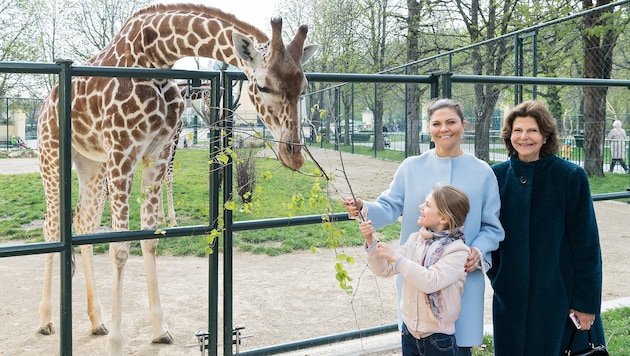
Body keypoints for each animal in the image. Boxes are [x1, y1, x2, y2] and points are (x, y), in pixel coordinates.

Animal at [37, 4, 318, 354]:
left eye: (304, 88)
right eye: (264, 86)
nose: (294, 155)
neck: (155, 56)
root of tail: (46, 101)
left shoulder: (157, 154)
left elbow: (150, 239)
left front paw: (159, 329)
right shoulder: (123, 152)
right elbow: (119, 249)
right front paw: (117, 342)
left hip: (92, 164)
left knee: (84, 224)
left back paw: (96, 320)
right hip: (52, 154)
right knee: (52, 227)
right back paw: (46, 320)